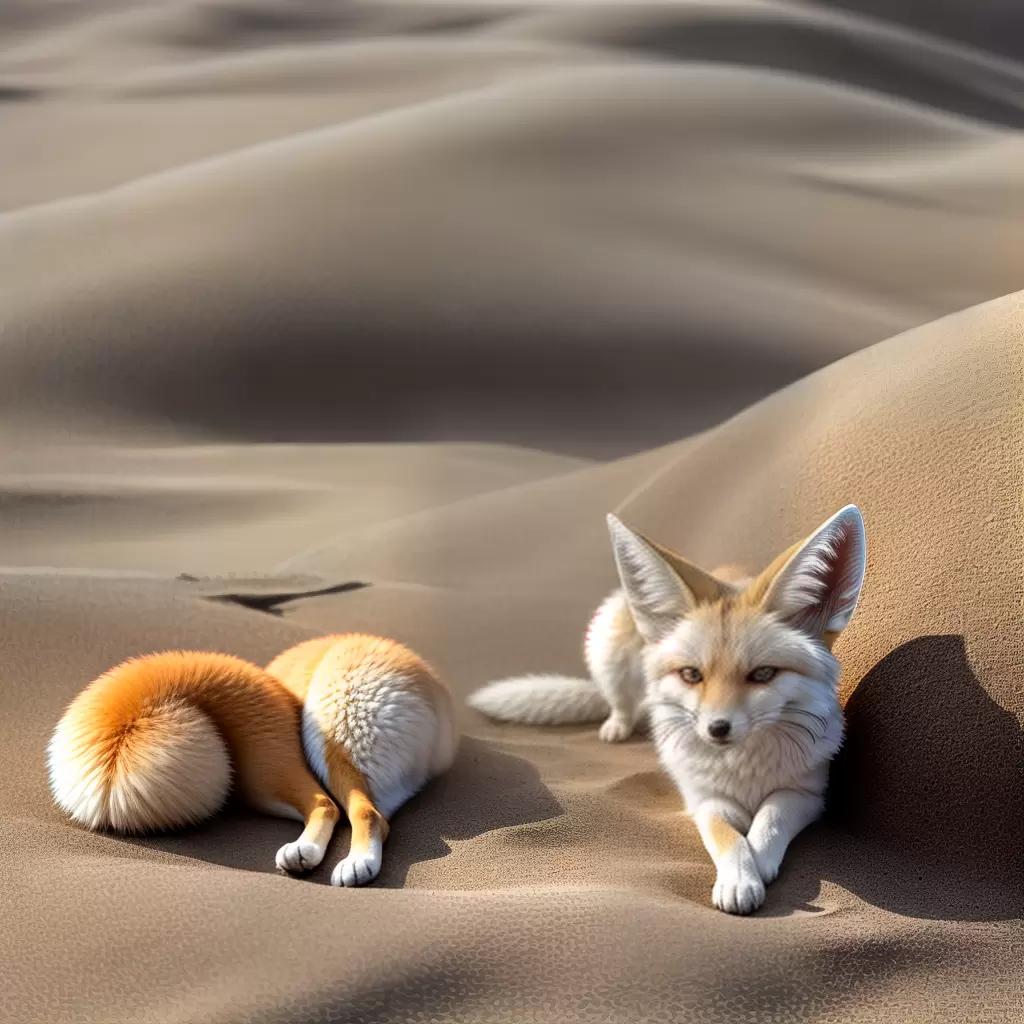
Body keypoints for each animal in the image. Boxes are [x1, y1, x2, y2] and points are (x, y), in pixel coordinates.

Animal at [48, 634, 457, 887]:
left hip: (318, 732)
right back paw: (310, 854)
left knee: (351, 809)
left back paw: (354, 864)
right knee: (357, 810)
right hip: (270, 782)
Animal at [468, 506, 867, 914]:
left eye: (763, 674)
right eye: (692, 674)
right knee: (620, 702)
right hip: (609, 648)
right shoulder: (703, 799)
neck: (743, 772)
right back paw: (617, 725)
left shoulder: (808, 794)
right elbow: (727, 836)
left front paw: (759, 861)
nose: (716, 729)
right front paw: (738, 877)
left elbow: (769, 818)